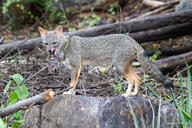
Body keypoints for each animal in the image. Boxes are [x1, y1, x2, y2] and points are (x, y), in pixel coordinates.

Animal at [38, 25, 173, 97]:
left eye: (54, 43)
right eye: (46, 44)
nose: (49, 51)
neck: (66, 46)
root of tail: (133, 41)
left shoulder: (76, 67)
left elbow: (72, 83)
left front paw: (69, 93)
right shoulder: (75, 68)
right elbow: (73, 83)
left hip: (119, 68)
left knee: (131, 80)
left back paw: (126, 95)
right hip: (126, 67)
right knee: (138, 79)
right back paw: (133, 94)